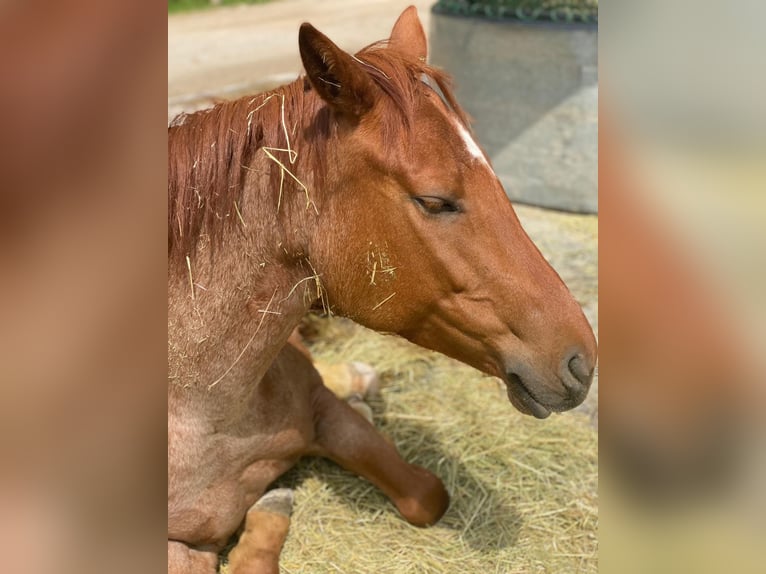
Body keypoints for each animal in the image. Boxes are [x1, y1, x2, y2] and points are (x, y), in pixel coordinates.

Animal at [168, 7, 597, 573]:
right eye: (434, 200)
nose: (582, 363)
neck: (211, 414)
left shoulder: (323, 410)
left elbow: (425, 494)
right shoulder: (182, 547)